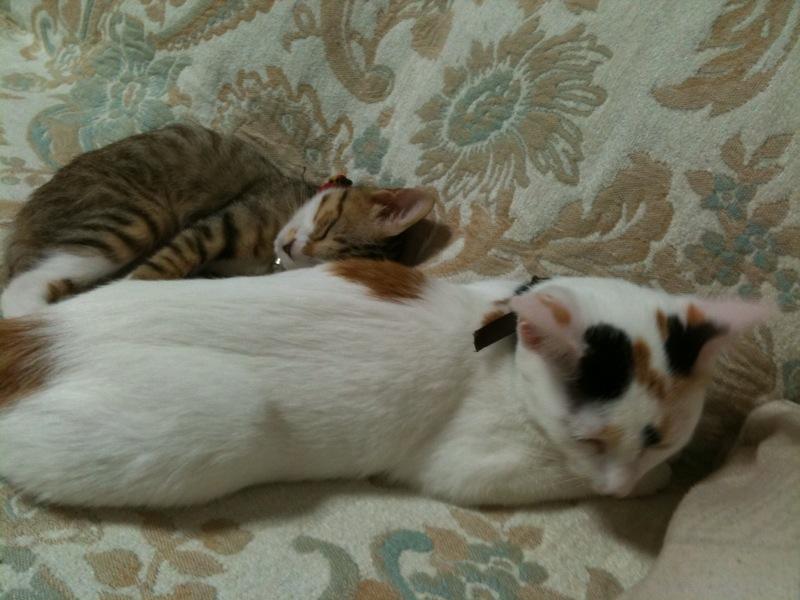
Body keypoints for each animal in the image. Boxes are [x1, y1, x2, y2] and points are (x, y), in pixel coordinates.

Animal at [0, 259, 768, 507]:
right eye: (593, 442)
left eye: (661, 437)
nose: (621, 484)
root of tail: (42, 333)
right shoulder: (471, 466)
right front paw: (648, 486)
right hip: (224, 419)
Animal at [1, 123, 436, 317]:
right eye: (327, 226)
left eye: (319, 264)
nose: (292, 247)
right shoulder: (219, 224)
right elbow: (159, 267)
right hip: (132, 216)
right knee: (26, 284)